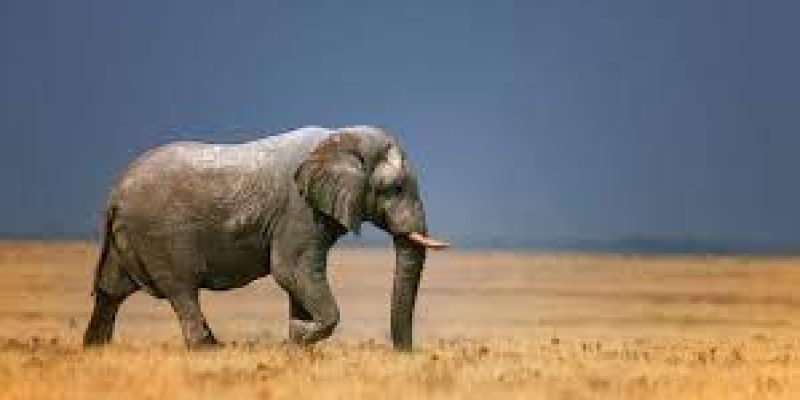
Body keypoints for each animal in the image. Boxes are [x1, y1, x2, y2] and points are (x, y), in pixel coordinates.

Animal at [83, 125, 448, 351]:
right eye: (395, 188)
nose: (405, 355)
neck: (341, 138)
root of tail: (114, 192)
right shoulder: (299, 210)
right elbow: (290, 271)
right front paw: (298, 339)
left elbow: (298, 279)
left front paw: (296, 342)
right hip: (161, 237)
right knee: (182, 291)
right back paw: (209, 350)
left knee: (109, 292)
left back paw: (95, 351)